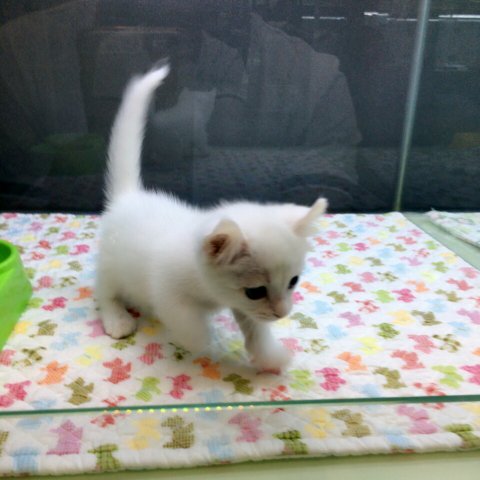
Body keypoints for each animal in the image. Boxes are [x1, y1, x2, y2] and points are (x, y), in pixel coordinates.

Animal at [96, 62, 327, 371]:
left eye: (294, 281)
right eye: (256, 291)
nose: (282, 313)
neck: (208, 290)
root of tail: (129, 196)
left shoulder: (241, 304)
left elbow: (255, 328)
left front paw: (269, 356)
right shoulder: (167, 292)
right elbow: (187, 323)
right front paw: (206, 344)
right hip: (112, 263)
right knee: (104, 290)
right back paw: (117, 318)